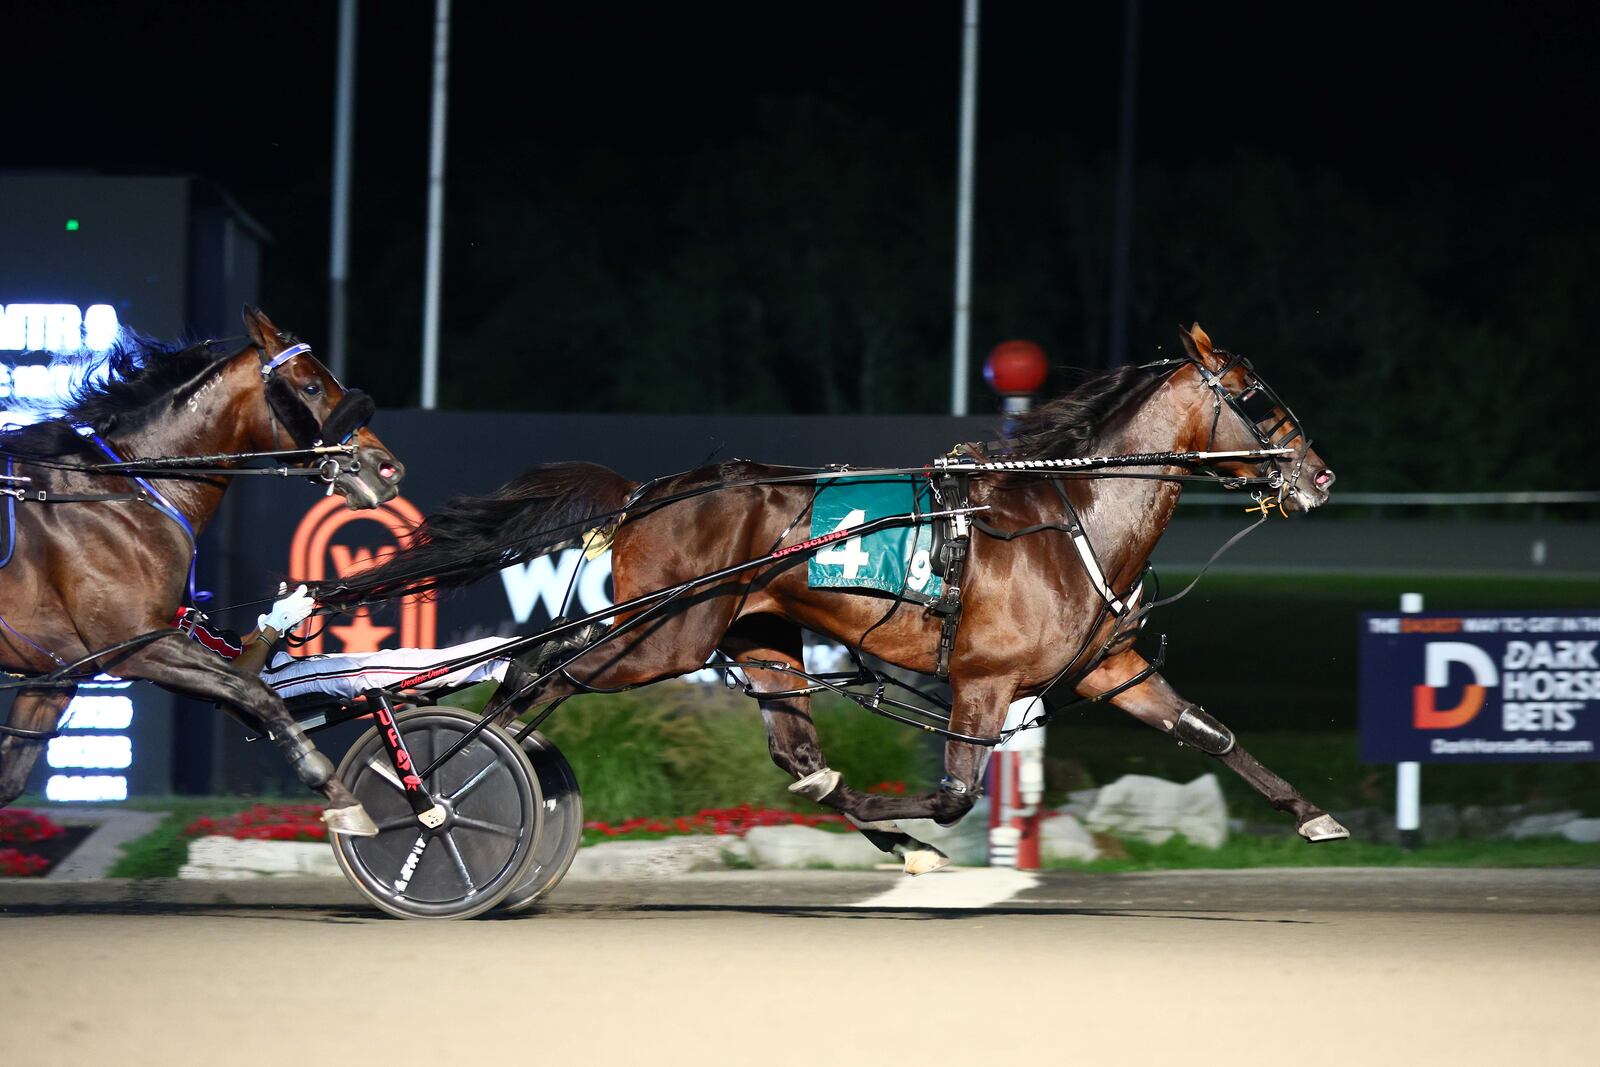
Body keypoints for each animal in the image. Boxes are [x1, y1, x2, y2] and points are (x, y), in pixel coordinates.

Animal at [0, 308, 406, 831]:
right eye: (313, 386)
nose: (387, 469)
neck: (125, 490)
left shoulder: (55, 673)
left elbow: (9, 780)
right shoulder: (133, 646)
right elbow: (253, 689)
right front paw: (334, 790)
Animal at [321, 326, 1337, 870]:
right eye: (1256, 393)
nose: (1320, 475)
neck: (1067, 516)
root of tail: (650, 493)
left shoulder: (1108, 669)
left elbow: (1209, 732)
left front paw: (1311, 814)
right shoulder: (982, 682)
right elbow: (951, 796)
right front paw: (913, 829)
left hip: (759, 636)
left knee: (789, 749)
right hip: (660, 637)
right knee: (539, 671)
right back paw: (438, 794)